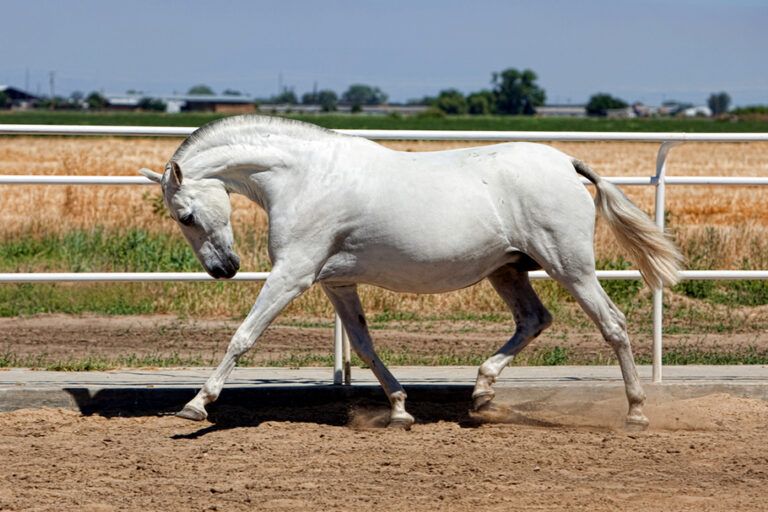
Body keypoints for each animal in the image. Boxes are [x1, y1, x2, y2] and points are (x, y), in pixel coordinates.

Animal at [139, 115, 682, 429]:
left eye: (185, 215)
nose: (223, 269)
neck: (306, 178)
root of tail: (566, 162)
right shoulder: (337, 282)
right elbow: (363, 343)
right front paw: (400, 409)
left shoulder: (292, 274)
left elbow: (244, 336)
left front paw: (197, 403)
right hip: (508, 270)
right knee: (534, 320)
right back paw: (481, 394)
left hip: (569, 265)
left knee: (613, 324)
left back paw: (636, 411)